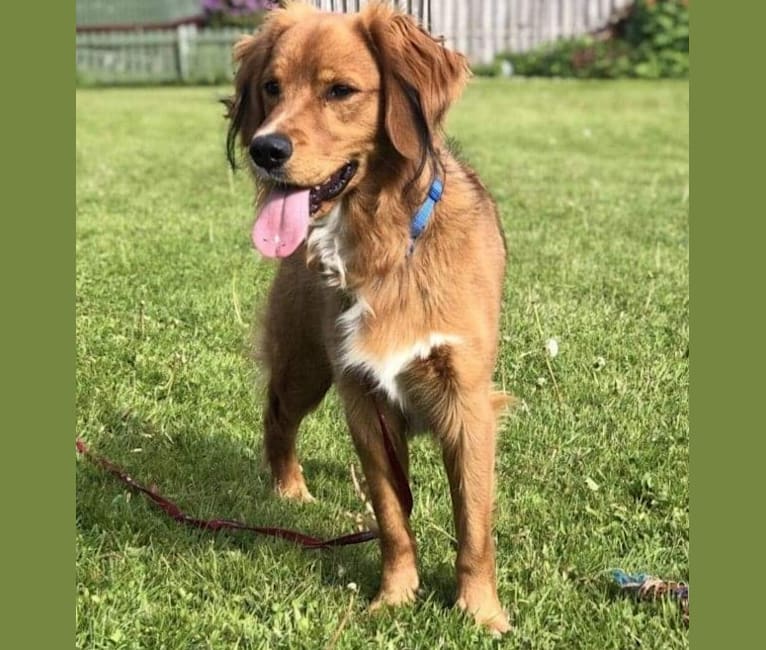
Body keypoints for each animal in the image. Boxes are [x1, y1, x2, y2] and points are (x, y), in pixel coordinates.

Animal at [230, 0, 516, 632]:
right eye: (271, 87)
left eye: (340, 90)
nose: (265, 151)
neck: (386, 246)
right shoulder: (363, 399)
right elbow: (391, 516)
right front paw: (396, 595)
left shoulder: (467, 401)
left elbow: (473, 525)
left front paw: (480, 611)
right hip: (304, 367)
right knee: (276, 417)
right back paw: (289, 490)